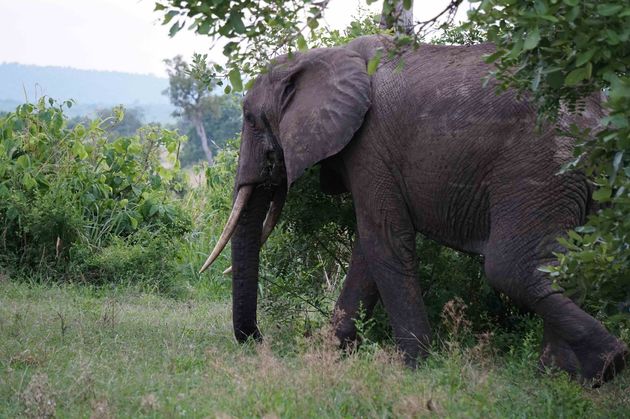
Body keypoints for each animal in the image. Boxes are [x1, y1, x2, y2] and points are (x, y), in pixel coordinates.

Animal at [201, 35, 628, 384]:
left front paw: (414, 368)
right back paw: (564, 376)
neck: (319, 56)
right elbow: (368, 250)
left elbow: (384, 240)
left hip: (541, 165)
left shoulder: (369, 146)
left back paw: (606, 365)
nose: (258, 340)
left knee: (511, 270)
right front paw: (330, 354)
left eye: (250, 119)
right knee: (570, 264)